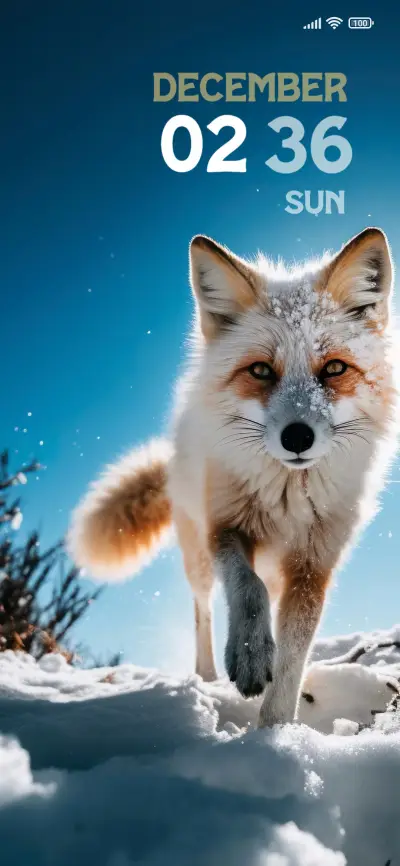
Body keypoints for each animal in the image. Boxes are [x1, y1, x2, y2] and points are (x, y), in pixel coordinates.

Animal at [68, 227, 398, 728]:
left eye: (335, 368)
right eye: (260, 370)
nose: (297, 437)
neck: (287, 500)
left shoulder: (313, 564)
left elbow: (293, 657)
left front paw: (275, 729)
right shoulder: (225, 526)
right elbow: (247, 587)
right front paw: (249, 655)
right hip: (198, 559)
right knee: (203, 611)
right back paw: (205, 677)